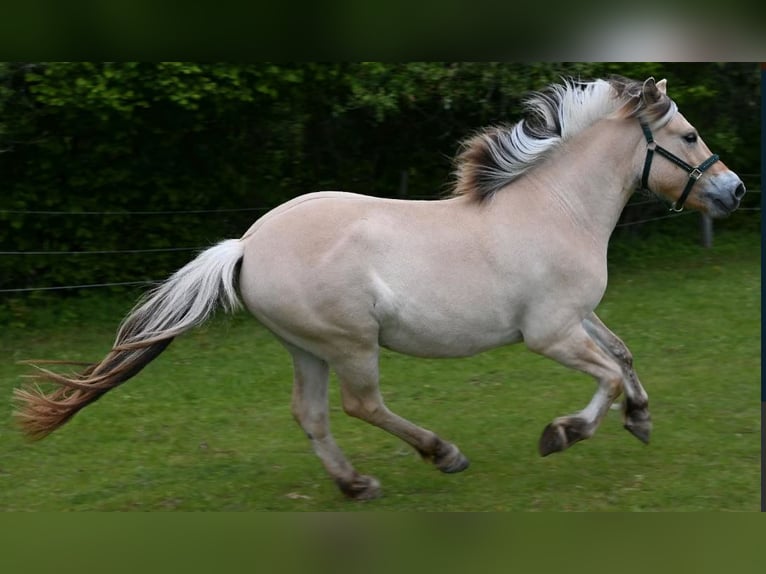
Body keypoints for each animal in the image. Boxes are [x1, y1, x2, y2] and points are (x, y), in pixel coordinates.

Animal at [14, 76, 745, 500]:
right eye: (688, 135)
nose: (734, 190)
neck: (557, 208)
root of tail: (245, 246)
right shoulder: (551, 333)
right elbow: (609, 376)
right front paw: (563, 433)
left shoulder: (578, 315)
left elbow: (622, 356)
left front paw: (641, 419)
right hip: (350, 342)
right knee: (362, 405)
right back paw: (443, 454)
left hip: (306, 348)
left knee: (311, 414)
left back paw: (356, 483)